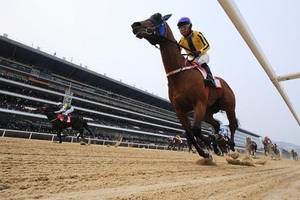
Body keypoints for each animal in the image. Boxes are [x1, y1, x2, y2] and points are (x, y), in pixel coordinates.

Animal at [131, 12, 239, 159]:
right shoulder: (180, 110)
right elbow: (190, 133)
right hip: (208, 111)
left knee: (232, 126)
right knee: (216, 125)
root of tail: (225, 83)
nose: (135, 25)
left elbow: (196, 129)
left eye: (158, 17)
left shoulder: (199, 103)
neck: (180, 75)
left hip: (229, 107)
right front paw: (205, 152)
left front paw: (208, 144)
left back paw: (232, 147)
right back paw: (217, 145)